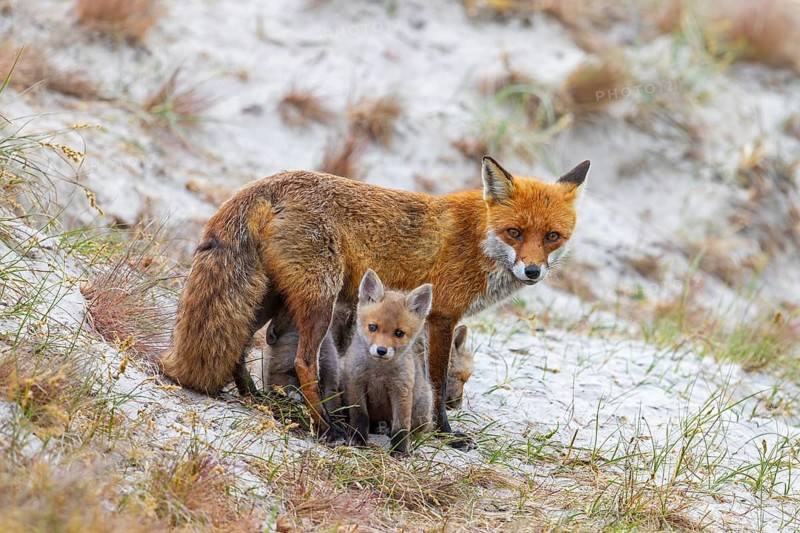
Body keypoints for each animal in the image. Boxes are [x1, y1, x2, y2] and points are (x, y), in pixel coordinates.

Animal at [343, 269, 434, 456]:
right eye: (372, 327)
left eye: (399, 333)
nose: (381, 350)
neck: (378, 373)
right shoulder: (355, 384)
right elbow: (360, 416)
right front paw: (357, 439)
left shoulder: (401, 390)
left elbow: (401, 426)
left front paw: (400, 450)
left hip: (422, 409)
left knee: (413, 428)